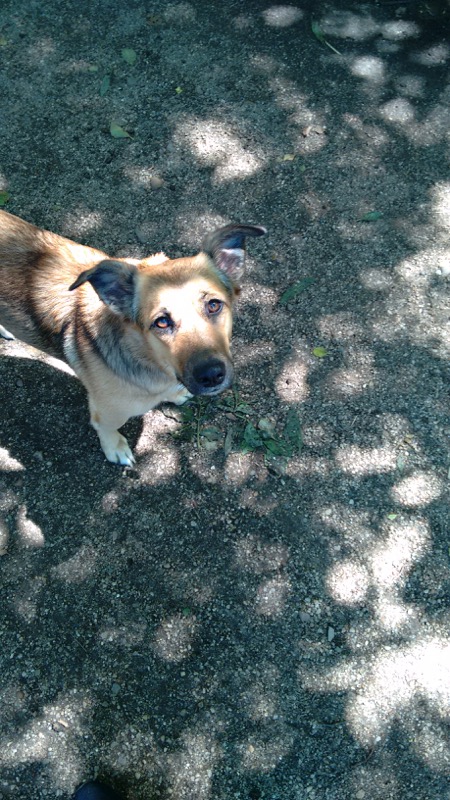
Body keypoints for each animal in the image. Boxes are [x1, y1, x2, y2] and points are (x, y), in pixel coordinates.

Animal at [0, 210, 265, 465]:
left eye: (214, 305)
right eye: (161, 322)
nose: (211, 375)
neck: (148, 359)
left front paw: (174, 394)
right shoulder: (106, 412)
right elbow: (107, 430)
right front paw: (115, 449)